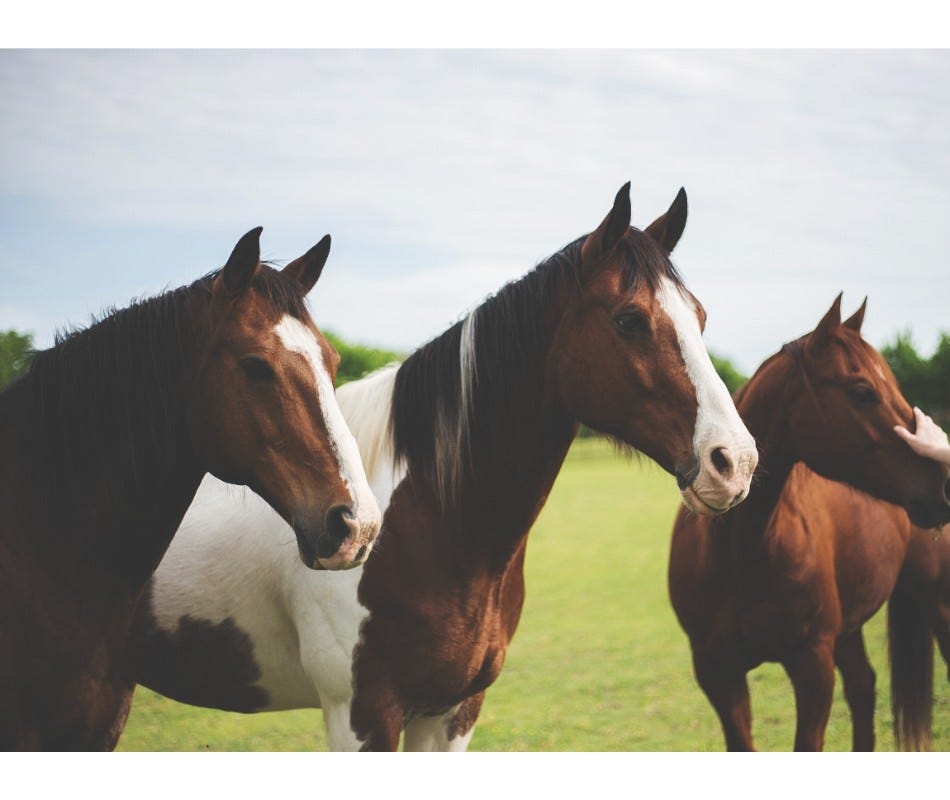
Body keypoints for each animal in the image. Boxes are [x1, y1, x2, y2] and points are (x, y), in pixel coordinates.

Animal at [126, 183, 764, 752]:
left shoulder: (452, 712)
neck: (429, 521)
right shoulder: (361, 716)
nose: (734, 462)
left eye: (700, 316)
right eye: (630, 319)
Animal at [668, 294, 950, 752]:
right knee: (863, 686)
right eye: (862, 391)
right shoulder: (718, 674)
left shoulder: (813, 666)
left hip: (936, 603)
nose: (942, 484)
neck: (743, 555)